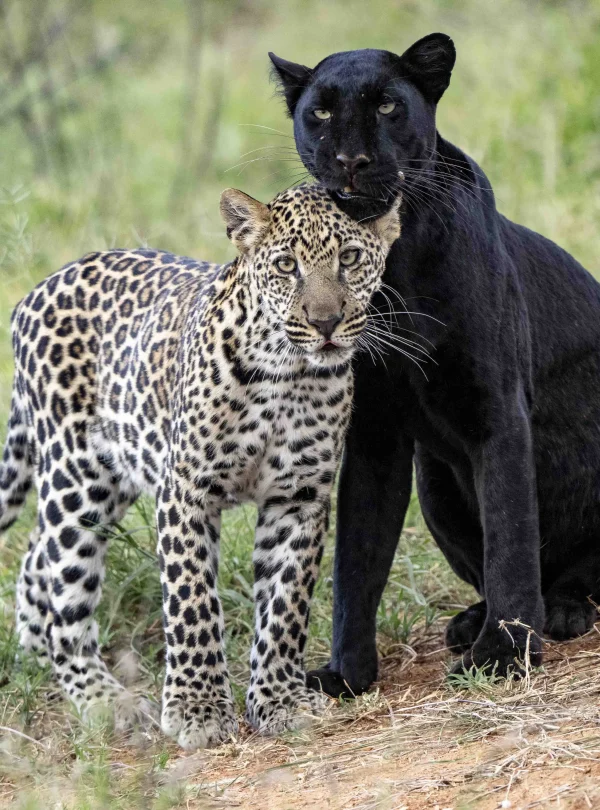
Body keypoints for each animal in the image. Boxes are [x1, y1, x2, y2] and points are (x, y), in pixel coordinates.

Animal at [1, 182, 400, 750]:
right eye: (286, 265)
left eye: (349, 259)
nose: (325, 323)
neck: (287, 374)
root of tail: (34, 292)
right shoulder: (186, 488)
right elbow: (192, 600)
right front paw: (198, 709)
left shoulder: (299, 497)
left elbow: (285, 604)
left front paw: (280, 700)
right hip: (77, 476)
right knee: (66, 591)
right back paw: (105, 699)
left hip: (115, 472)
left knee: (38, 555)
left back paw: (37, 652)